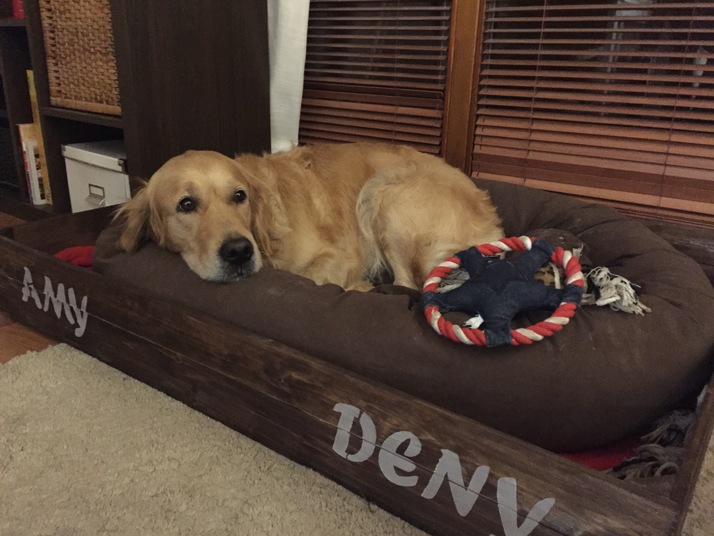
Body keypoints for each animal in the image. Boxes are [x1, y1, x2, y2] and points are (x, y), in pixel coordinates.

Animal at [115, 142, 503, 291]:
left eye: (239, 196)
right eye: (186, 204)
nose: (239, 251)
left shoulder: (339, 256)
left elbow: (306, 277)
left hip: (383, 195)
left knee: (408, 286)